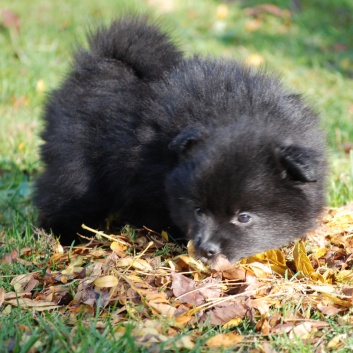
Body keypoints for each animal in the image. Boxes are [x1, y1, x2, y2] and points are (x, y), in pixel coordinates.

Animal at [34, 17, 326, 262]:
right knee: (65, 193)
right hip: (75, 160)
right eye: (199, 211)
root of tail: (101, 61)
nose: (206, 249)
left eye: (244, 217)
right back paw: (67, 235)